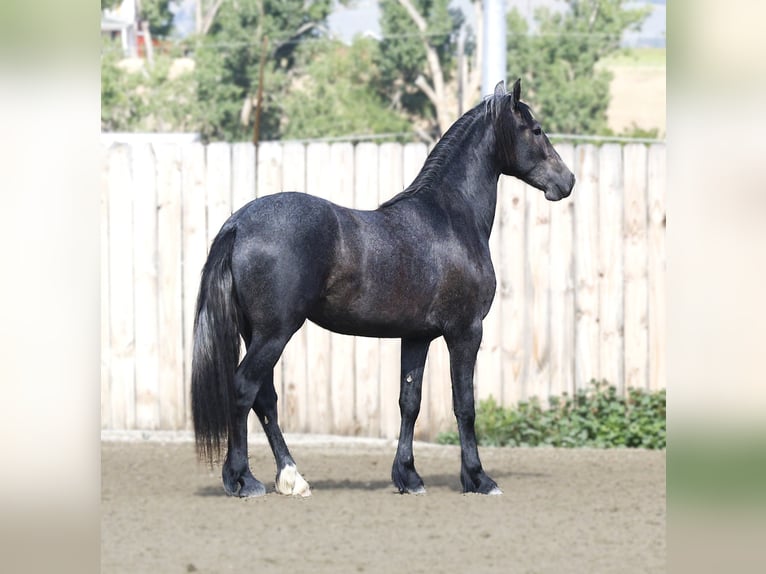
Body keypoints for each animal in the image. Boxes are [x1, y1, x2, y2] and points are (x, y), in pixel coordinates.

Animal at [191, 79, 575, 497]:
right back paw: (243, 479)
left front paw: (408, 476)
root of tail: (239, 223)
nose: (567, 181)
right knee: (245, 389)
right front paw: (478, 478)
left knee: (265, 398)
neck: (449, 217)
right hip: (274, 333)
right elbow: (465, 405)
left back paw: (292, 478)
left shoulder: (417, 337)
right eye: (536, 130)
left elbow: (410, 401)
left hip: (256, 334)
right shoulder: (465, 332)